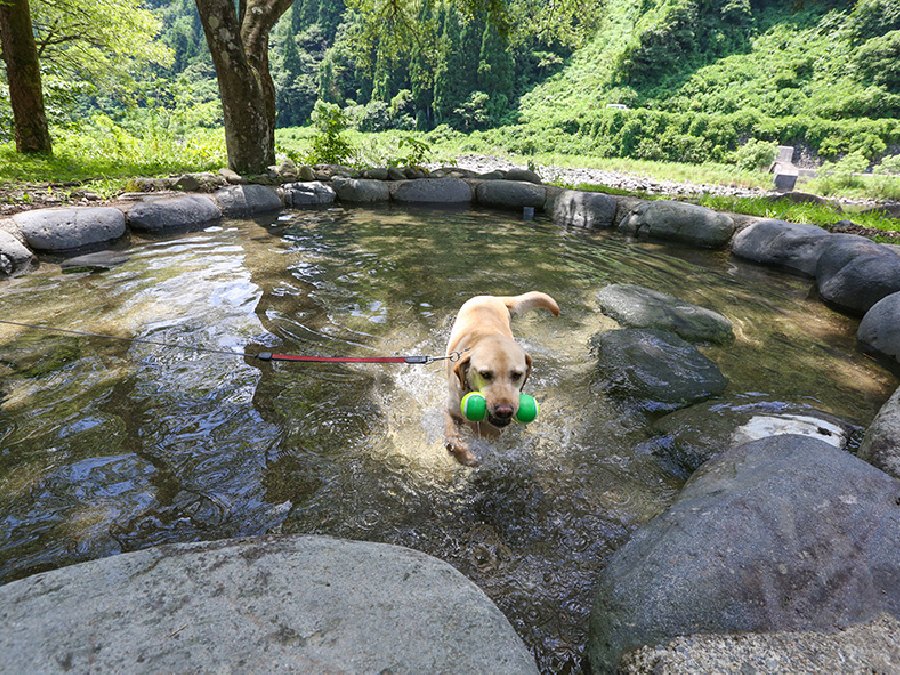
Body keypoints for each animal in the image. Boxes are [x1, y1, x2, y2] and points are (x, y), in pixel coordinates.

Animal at [442, 294, 556, 468]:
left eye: (517, 374)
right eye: (485, 374)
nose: (504, 411)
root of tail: (491, 296)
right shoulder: (450, 410)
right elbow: (451, 439)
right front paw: (466, 456)